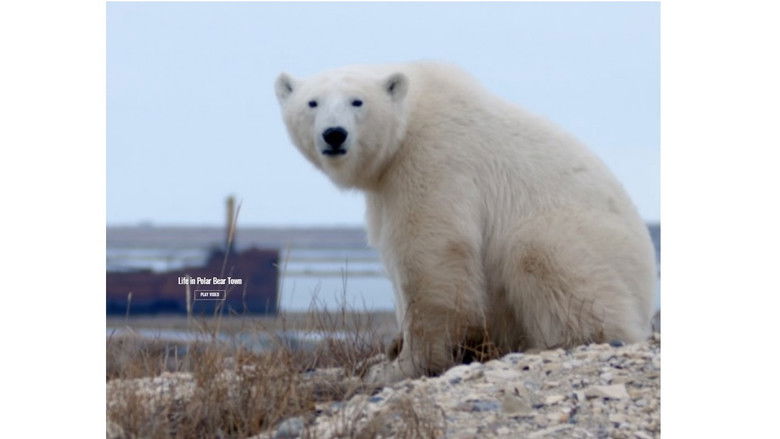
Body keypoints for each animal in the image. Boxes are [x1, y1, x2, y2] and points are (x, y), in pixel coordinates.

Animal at [274, 61, 657, 384]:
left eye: (357, 101)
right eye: (312, 103)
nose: (334, 134)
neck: (412, 114)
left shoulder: (433, 158)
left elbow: (430, 256)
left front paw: (404, 365)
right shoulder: (386, 188)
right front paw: (386, 352)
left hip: (589, 241)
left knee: (541, 255)